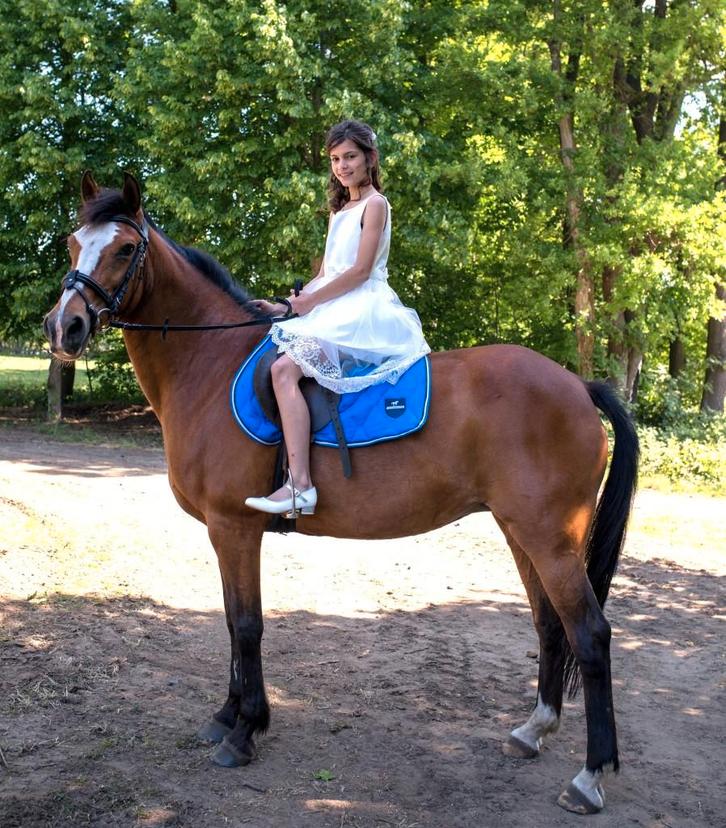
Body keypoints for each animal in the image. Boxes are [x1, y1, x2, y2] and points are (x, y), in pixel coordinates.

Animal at [43, 172, 638, 815]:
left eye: (125, 249)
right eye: (74, 244)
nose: (63, 327)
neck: (209, 365)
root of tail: (577, 385)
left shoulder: (234, 527)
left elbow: (247, 625)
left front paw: (245, 730)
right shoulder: (222, 533)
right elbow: (229, 619)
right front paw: (227, 715)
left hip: (550, 539)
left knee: (591, 635)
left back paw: (590, 776)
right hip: (522, 533)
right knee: (551, 626)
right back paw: (534, 730)